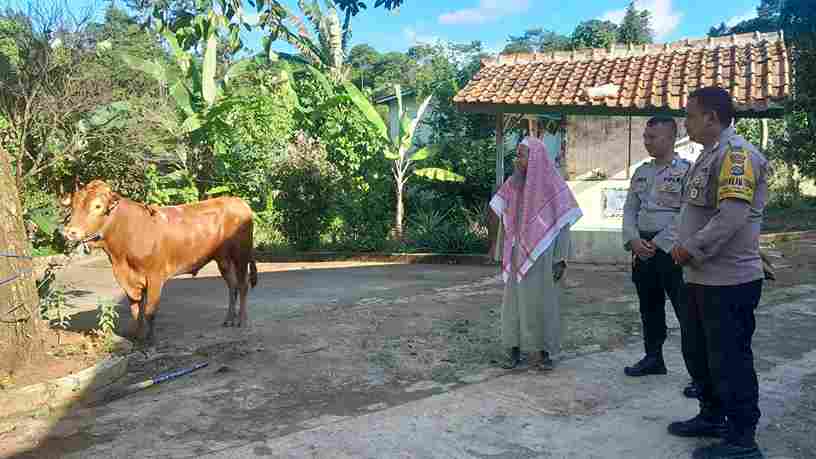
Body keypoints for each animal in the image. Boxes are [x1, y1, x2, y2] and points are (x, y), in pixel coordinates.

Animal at [61, 181, 258, 344]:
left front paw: (150, 340)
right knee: (232, 286)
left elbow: (150, 311)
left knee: (242, 285)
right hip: (223, 259)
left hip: (241, 255)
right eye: (73, 205)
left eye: (97, 206)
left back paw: (242, 320)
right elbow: (136, 310)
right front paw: (138, 336)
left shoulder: (155, 276)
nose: (71, 232)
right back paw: (229, 319)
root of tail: (238, 201)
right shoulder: (129, 280)